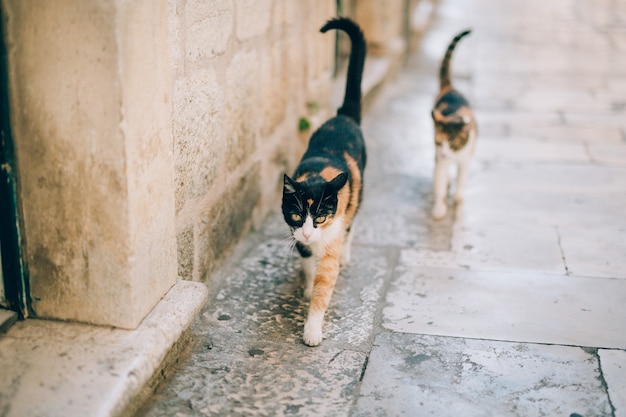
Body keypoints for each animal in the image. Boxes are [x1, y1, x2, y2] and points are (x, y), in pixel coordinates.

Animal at [280, 17, 364, 348]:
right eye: (295, 215)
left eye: (321, 218)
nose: (307, 233)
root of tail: (343, 116)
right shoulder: (297, 237)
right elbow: (306, 262)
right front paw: (305, 286)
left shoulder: (332, 232)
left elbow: (324, 283)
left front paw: (312, 330)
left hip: (358, 197)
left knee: (353, 224)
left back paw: (347, 255)